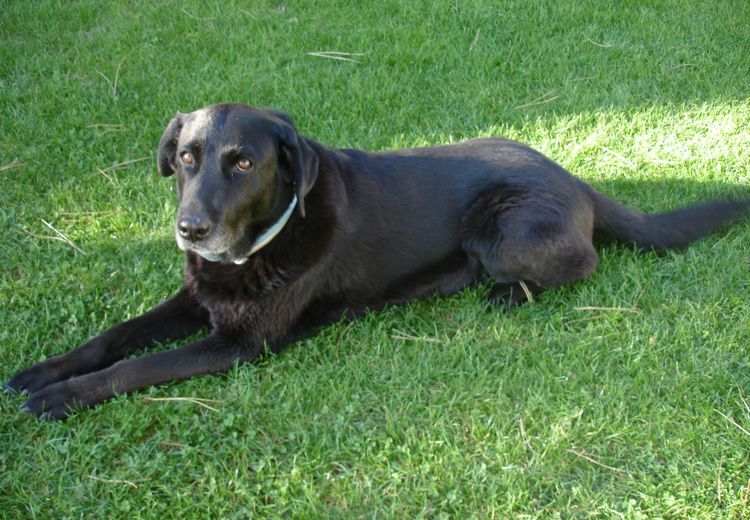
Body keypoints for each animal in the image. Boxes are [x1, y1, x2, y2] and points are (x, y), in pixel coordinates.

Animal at [7, 103, 750, 416]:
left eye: (242, 162)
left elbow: (136, 367)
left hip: (502, 233)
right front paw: (45, 371)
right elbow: (114, 337)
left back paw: (505, 292)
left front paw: (63, 397)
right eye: (186, 158)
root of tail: (575, 179)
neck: (261, 241)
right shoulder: (197, 298)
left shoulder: (241, 342)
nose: (190, 229)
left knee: (583, 263)